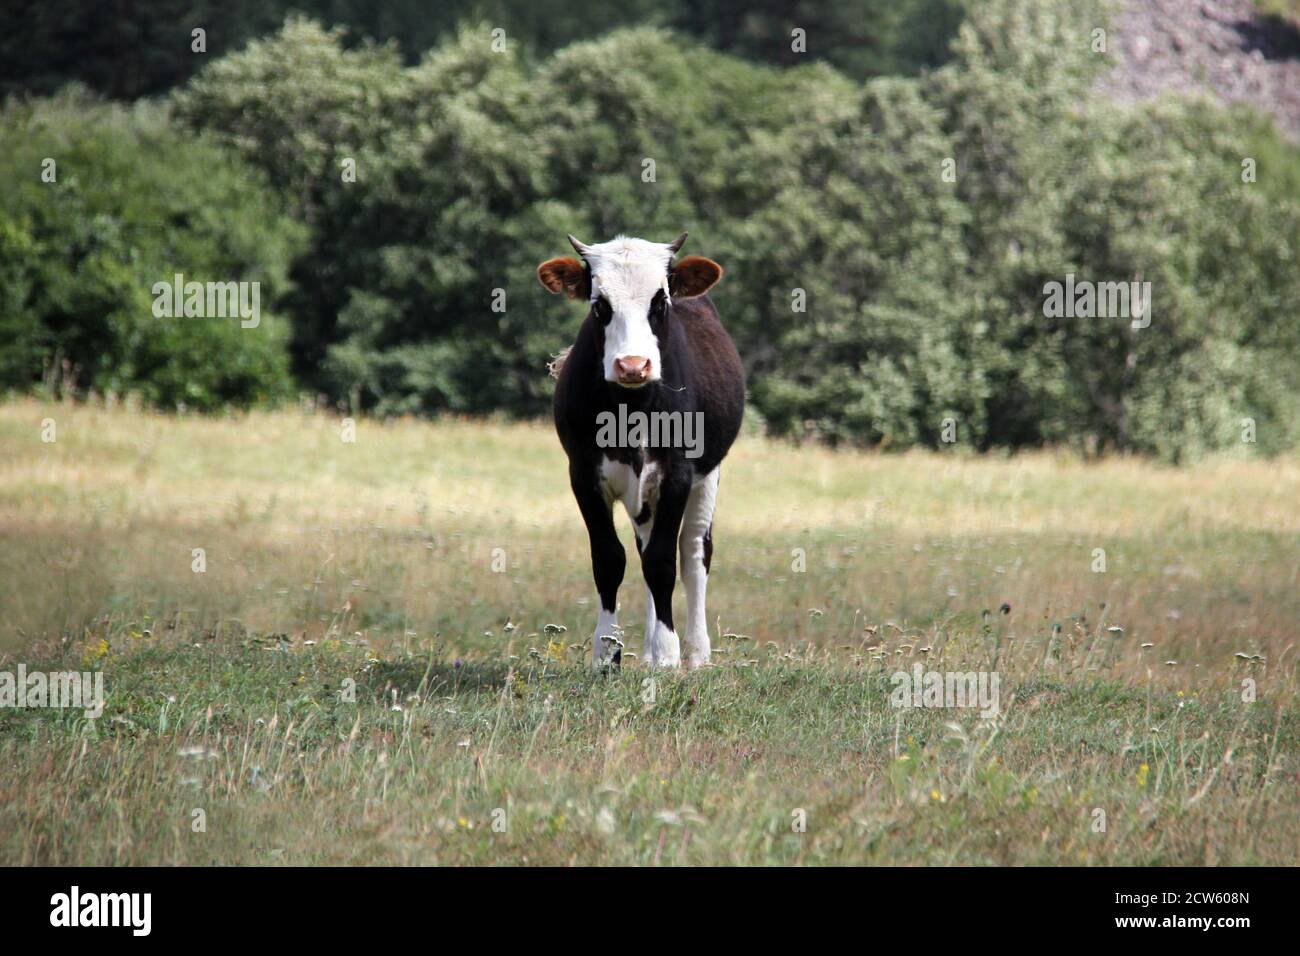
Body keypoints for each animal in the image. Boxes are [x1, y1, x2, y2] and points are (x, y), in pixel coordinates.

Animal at [538, 232, 744, 669]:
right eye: (599, 304)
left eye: (660, 301)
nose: (633, 365)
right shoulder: (583, 475)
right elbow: (610, 559)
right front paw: (607, 653)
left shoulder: (677, 475)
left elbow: (664, 562)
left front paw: (668, 655)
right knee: (646, 545)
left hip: (707, 476)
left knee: (694, 552)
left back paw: (696, 653)